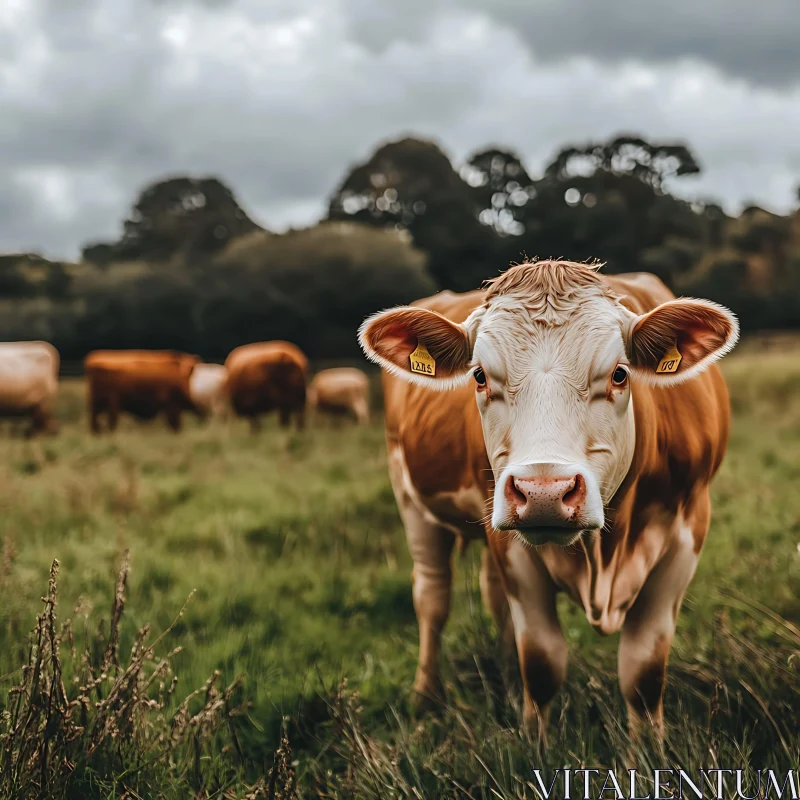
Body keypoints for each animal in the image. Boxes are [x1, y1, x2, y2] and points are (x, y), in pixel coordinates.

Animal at [360, 260, 740, 744]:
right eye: (479, 376)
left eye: (619, 373)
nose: (544, 492)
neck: (606, 556)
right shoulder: (509, 544)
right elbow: (542, 666)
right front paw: (536, 748)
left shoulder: (687, 532)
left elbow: (643, 674)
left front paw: (649, 751)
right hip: (410, 497)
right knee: (432, 596)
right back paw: (426, 697)